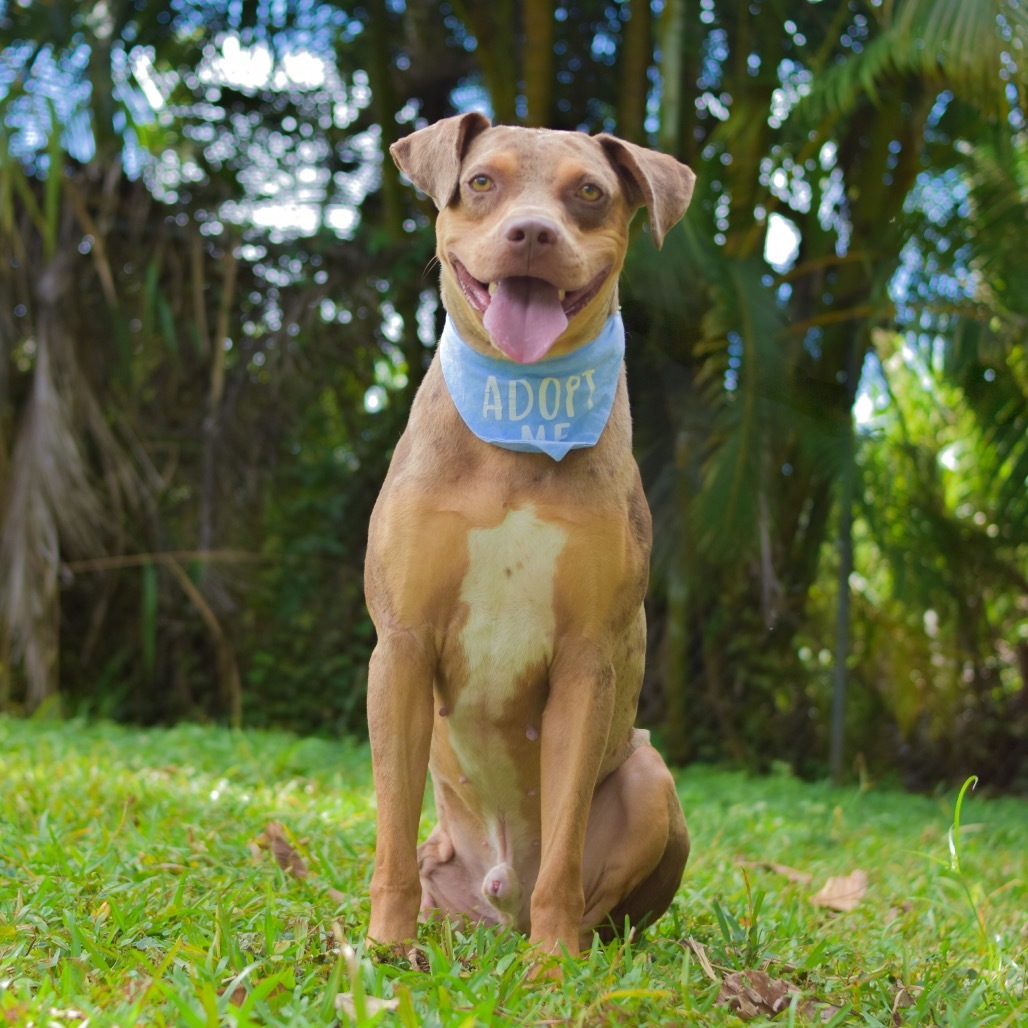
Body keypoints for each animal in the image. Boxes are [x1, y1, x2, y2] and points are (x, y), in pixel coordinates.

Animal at [365, 112, 694, 953]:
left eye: (590, 193)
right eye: (483, 181)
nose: (533, 233)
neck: (519, 410)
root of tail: (496, 901)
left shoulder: (585, 661)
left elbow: (566, 850)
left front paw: (553, 966)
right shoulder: (402, 646)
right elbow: (390, 832)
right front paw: (383, 949)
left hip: (650, 775)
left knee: (588, 889)